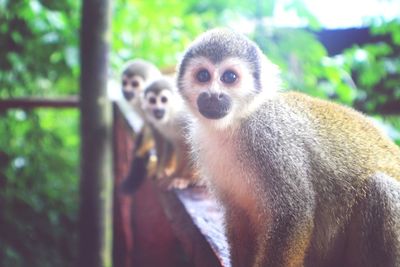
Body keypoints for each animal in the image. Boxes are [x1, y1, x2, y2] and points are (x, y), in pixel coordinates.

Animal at [178, 27, 400, 267]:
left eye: (229, 77)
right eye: (203, 76)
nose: (213, 95)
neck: (235, 124)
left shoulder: (270, 139)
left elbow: (293, 214)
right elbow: (238, 215)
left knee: (381, 189)